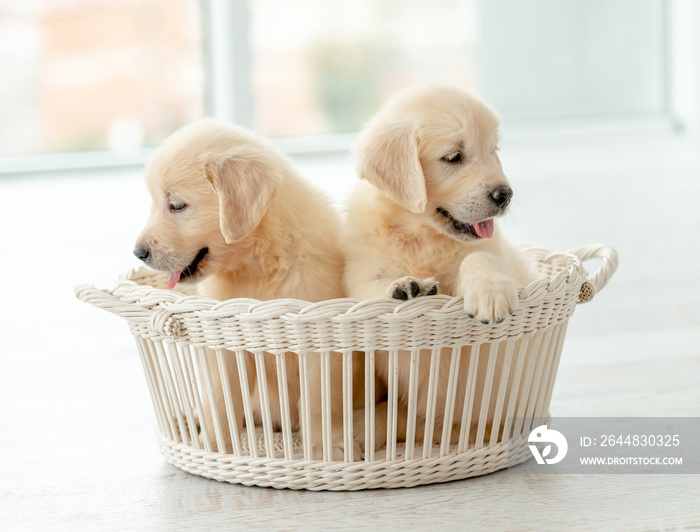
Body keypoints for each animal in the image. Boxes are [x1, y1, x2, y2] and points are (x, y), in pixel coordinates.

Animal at [134, 118, 350, 460]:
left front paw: (325, 446)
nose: (138, 252)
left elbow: (318, 400)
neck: (256, 265)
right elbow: (221, 400)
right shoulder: (223, 347)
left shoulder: (320, 344)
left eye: (177, 206)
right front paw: (213, 444)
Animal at [344, 84, 536, 448]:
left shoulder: (492, 253)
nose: (505, 194)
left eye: (493, 151)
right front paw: (406, 287)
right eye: (453, 157)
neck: (422, 236)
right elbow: (372, 287)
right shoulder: (362, 271)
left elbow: (478, 256)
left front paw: (490, 294)